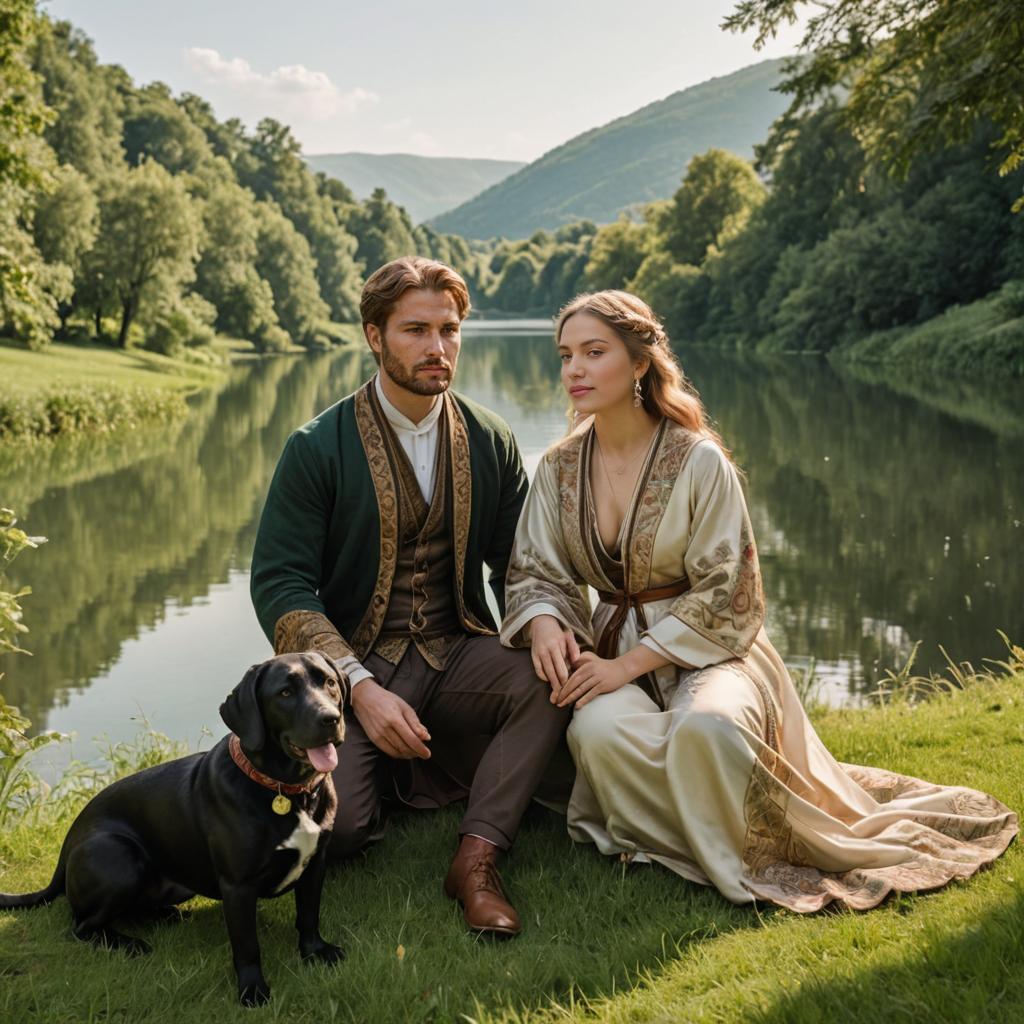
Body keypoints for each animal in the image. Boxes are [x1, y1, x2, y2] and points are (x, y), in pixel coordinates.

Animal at [0, 651, 348, 1003]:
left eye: (329, 682)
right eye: (285, 693)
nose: (331, 719)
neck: (287, 790)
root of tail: (69, 839)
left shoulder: (315, 864)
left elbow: (308, 915)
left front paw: (315, 952)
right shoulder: (238, 885)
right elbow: (247, 945)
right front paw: (252, 991)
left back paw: (168, 915)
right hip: (118, 857)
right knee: (82, 926)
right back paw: (129, 943)